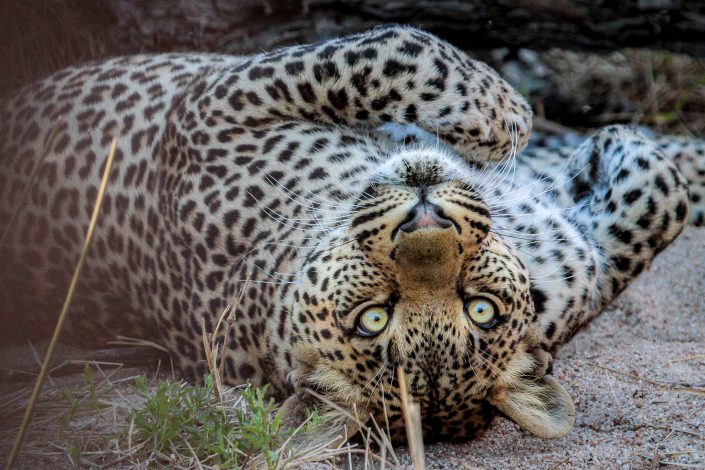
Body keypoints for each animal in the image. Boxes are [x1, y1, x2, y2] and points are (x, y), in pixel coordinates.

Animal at [0, 25, 700, 444]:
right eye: (372, 318)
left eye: (480, 310)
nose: (426, 217)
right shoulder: (213, 105)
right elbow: (398, 49)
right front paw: (506, 115)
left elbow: (659, 194)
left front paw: (595, 152)